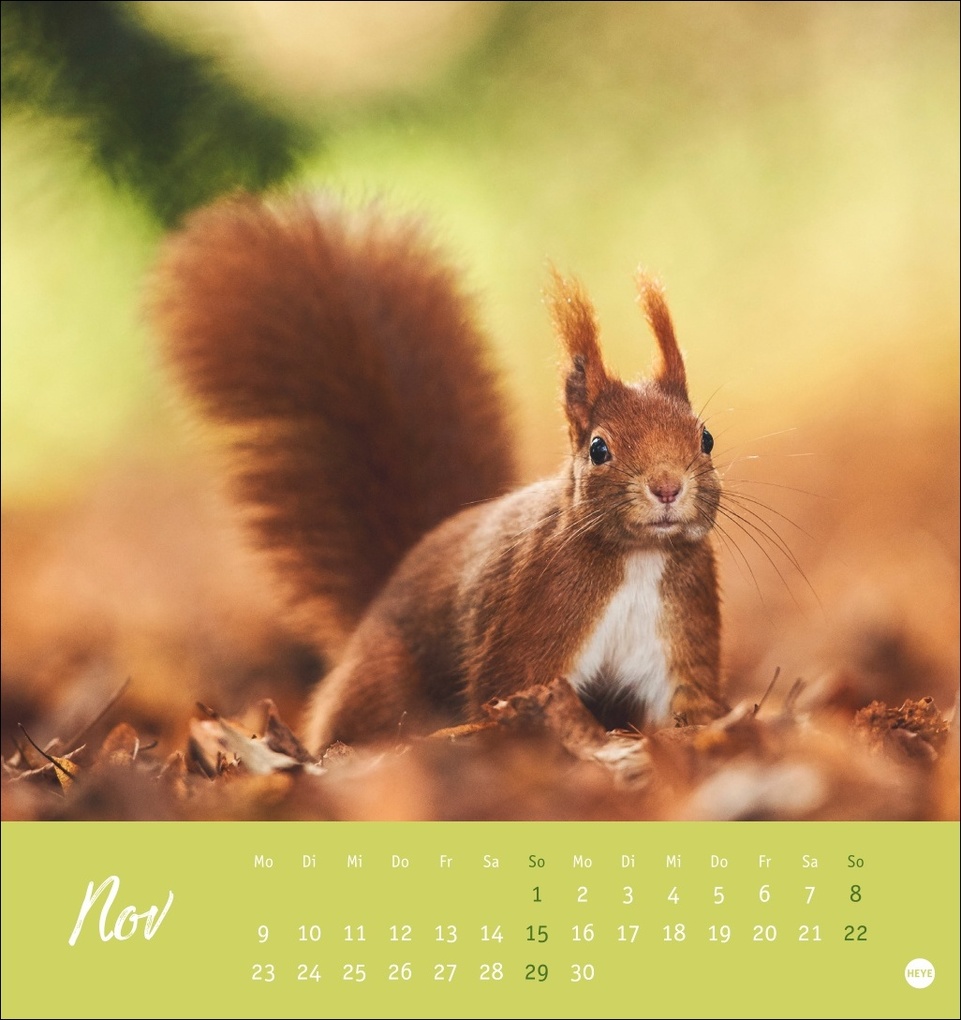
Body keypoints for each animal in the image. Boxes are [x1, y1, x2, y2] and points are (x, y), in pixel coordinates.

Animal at [151, 193, 726, 752]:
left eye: (706, 439)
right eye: (598, 448)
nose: (667, 486)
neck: (638, 559)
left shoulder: (680, 635)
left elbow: (685, 708)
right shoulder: (531, 619)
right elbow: (512, 692)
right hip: (383, 678)